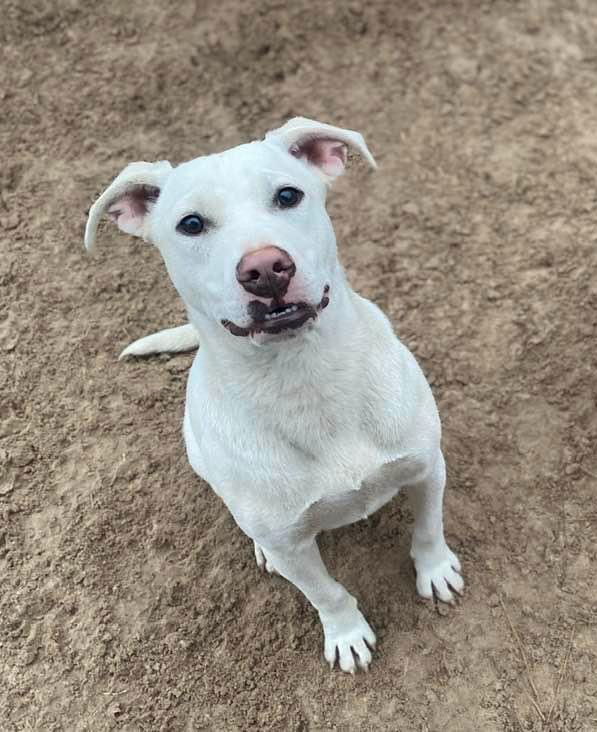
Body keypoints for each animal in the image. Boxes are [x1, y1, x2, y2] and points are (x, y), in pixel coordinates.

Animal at [85, 117, 466, 672]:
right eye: (191, 224)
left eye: (288, 195)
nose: (265, 268)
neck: (307, 379)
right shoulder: (292, 546)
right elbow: (326, 592)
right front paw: (346, 634)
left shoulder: (426, 467)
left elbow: (429, 528)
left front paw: (435, 571)